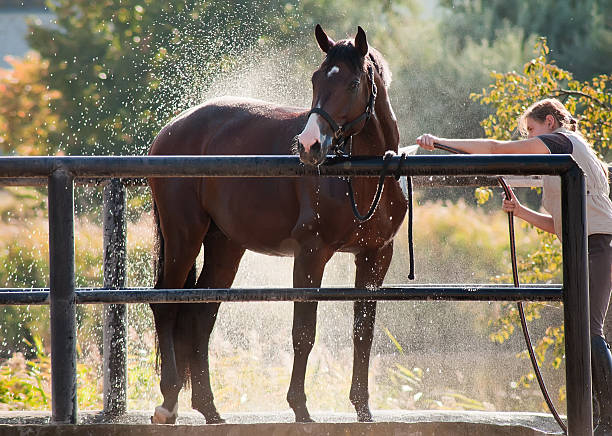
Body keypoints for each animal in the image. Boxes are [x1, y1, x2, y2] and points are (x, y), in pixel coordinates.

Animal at [148, 25, 406, 424]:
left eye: (352, 83)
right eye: (316, 78)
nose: (309, 145)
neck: (360, 177)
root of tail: (171, 129)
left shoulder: (375, 256)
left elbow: (363, 332)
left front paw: (363, 409)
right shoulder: (311, 254)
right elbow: (304, 332)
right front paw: (300, 407)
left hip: (224, 246)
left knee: (200, 314)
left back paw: (210, 409)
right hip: (183, 238)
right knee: (166, 304)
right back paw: (169, 401)